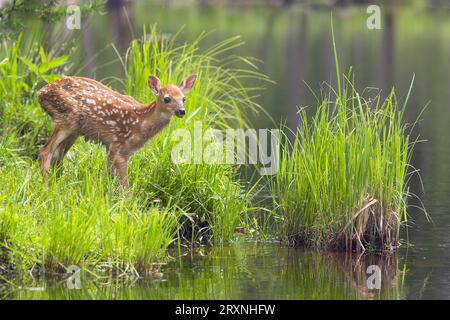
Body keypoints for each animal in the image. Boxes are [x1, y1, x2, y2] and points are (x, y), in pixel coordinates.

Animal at [36, 74, 195, 190]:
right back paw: (47, 188)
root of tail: (41, 92)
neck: (140, 122)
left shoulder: (112, 147)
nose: (181, 111)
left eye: (184, 99)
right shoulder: (120, 146)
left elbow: (110, 174)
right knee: (45, 152)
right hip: (68, 117)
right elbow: (124, 184)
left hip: (75, 130)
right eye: (166, 99)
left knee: (57, 155)